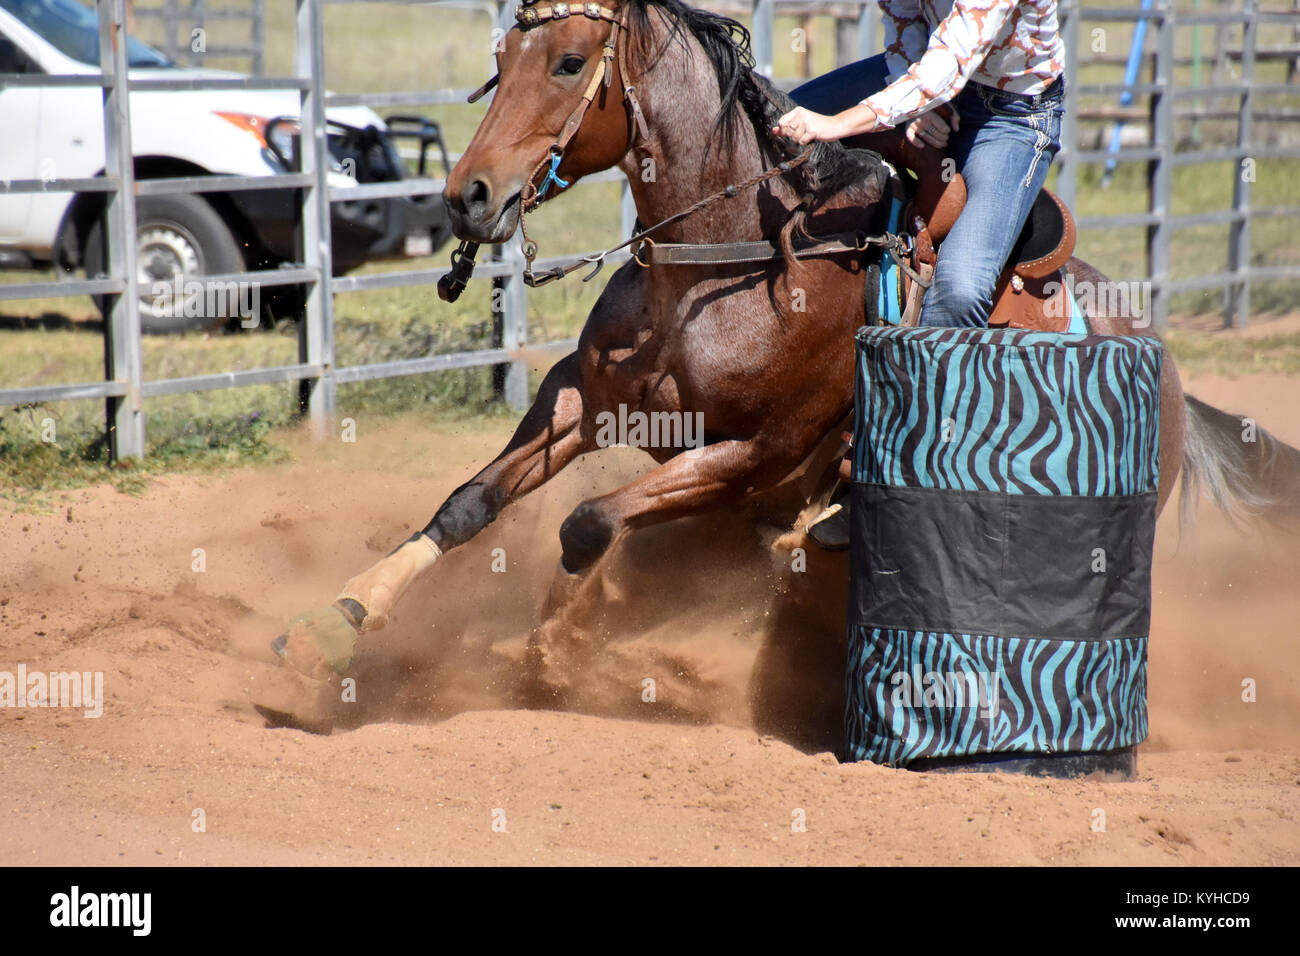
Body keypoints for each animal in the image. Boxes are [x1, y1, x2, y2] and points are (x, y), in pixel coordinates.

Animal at [274, 1, 1300, 702]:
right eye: (502, 58)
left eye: (568, 61)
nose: (469, 196)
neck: (719, 268)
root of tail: (1171, 372)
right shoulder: (582, 398)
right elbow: (469, 506)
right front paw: (335, 623)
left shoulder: (754, 455)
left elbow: (589, 527)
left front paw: (558, 643)